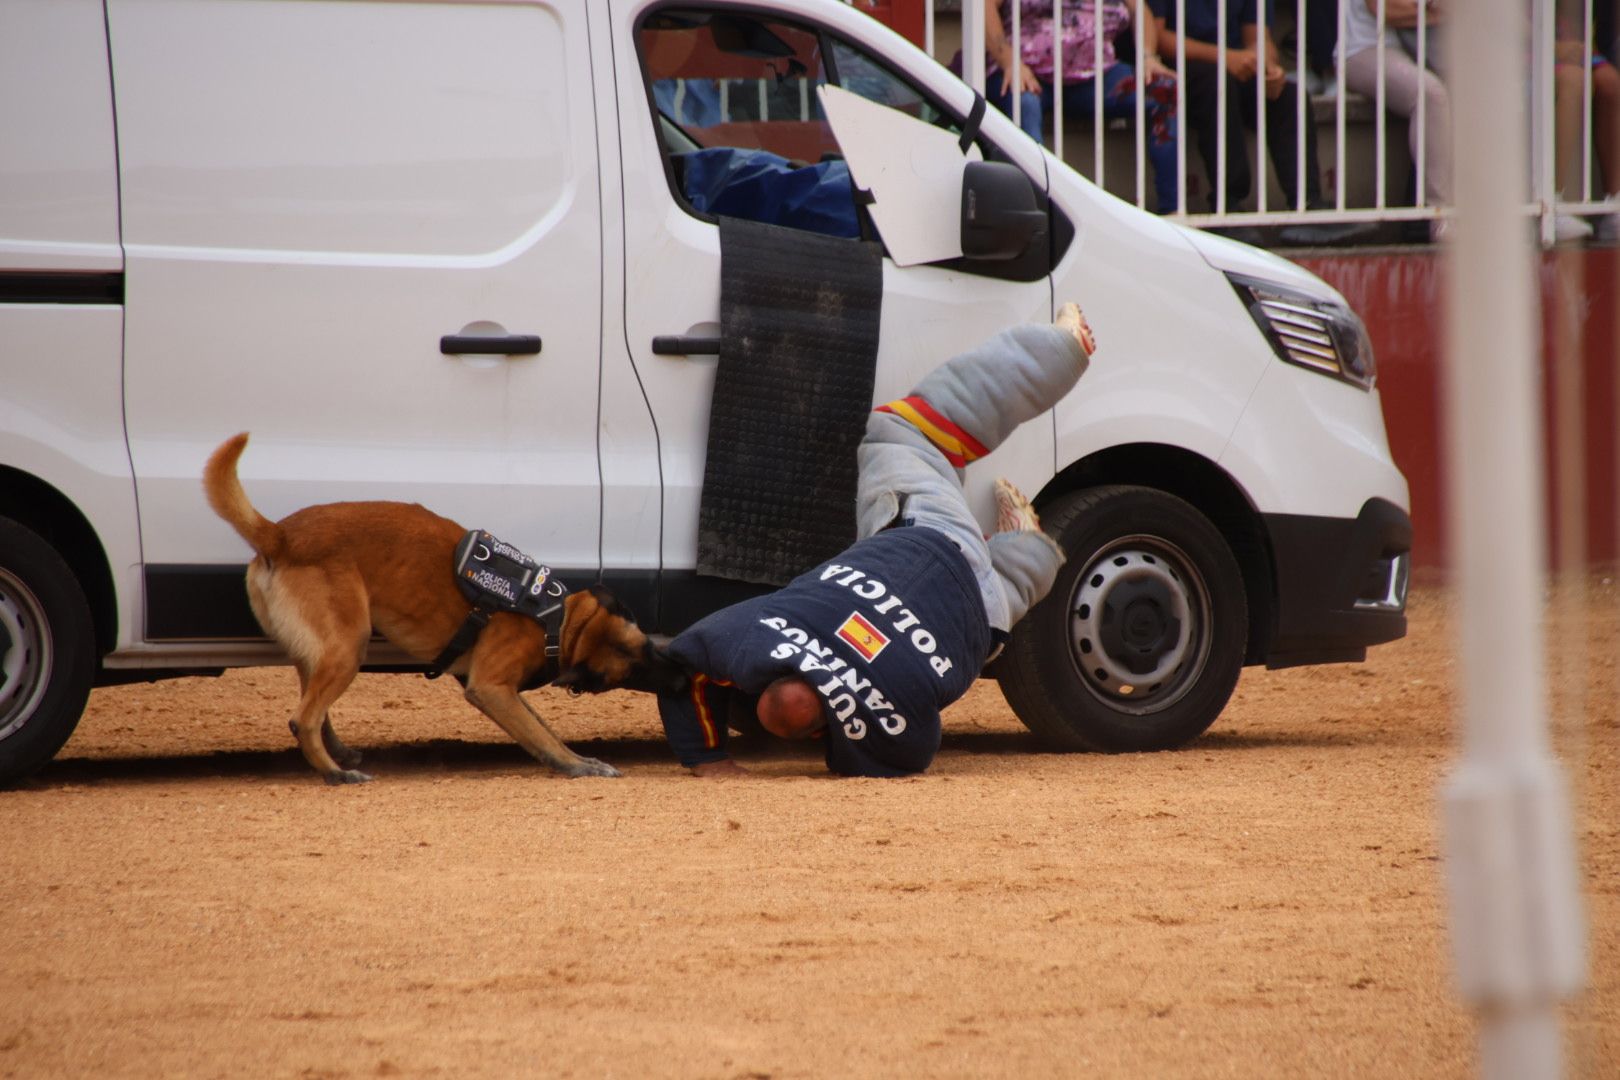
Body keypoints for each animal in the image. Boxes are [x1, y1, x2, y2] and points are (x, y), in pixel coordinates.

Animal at [204, 433, 683, 786]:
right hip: (348, 645)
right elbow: (543, 737)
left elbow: (543, 726)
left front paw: (582, 757)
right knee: (303, 718)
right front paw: (577, 765)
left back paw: (337, 753)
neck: (557, 620)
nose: (682, 676)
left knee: (310, 710)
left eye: (648, 650)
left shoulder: (503, 689)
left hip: (324, 647)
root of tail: (280, 535)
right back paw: (336, 774)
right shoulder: (491, 688)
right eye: (637, 666)